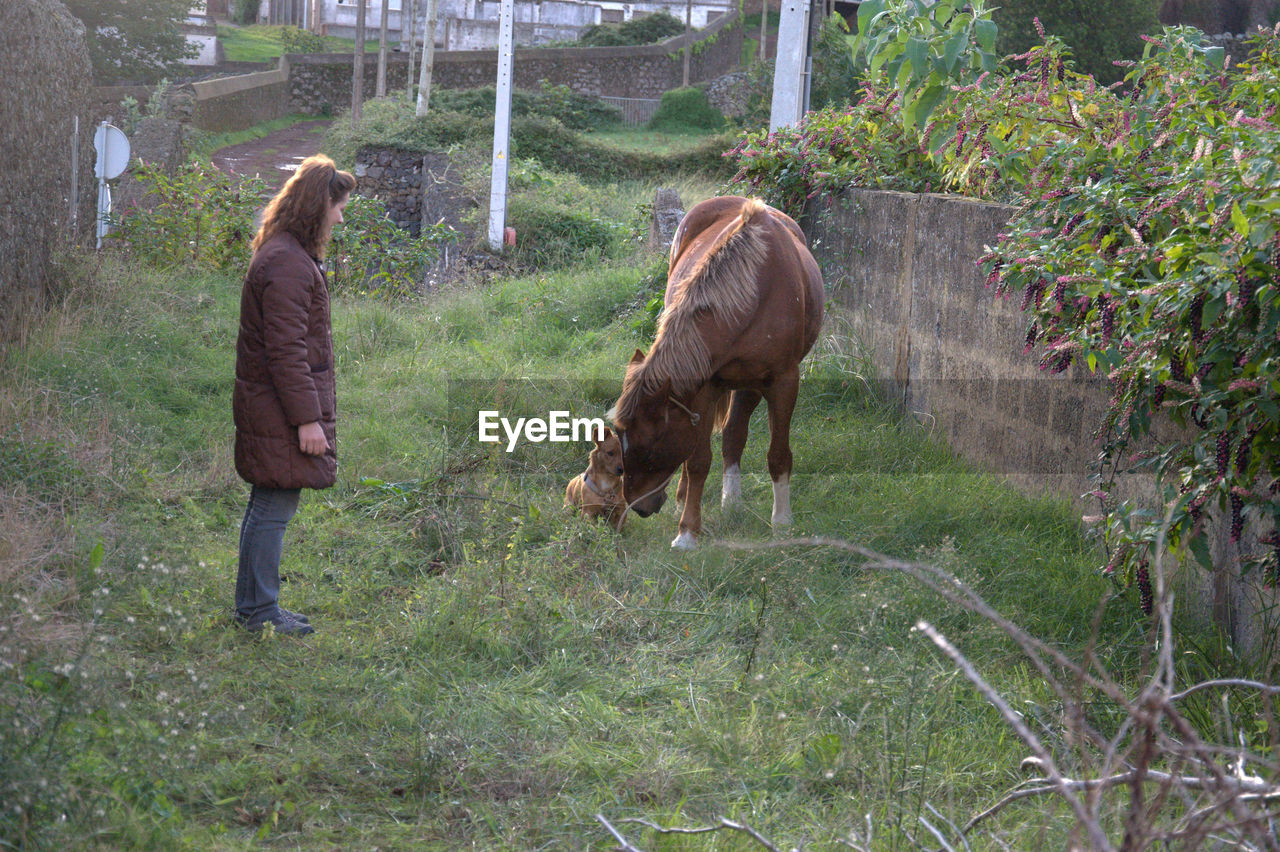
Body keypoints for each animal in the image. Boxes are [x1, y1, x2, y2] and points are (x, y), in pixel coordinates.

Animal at [611, 195, 829, 547]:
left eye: (651, 443)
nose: (637, 505)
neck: (756, 288)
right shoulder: (704, 387)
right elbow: (698, 461)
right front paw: (687, 532)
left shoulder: (782, 382)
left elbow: (778, 455)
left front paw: (782, 523)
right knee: (725, 440)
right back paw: (699, 500)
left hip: (749, 385)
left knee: (734, 435)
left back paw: (732, 503)